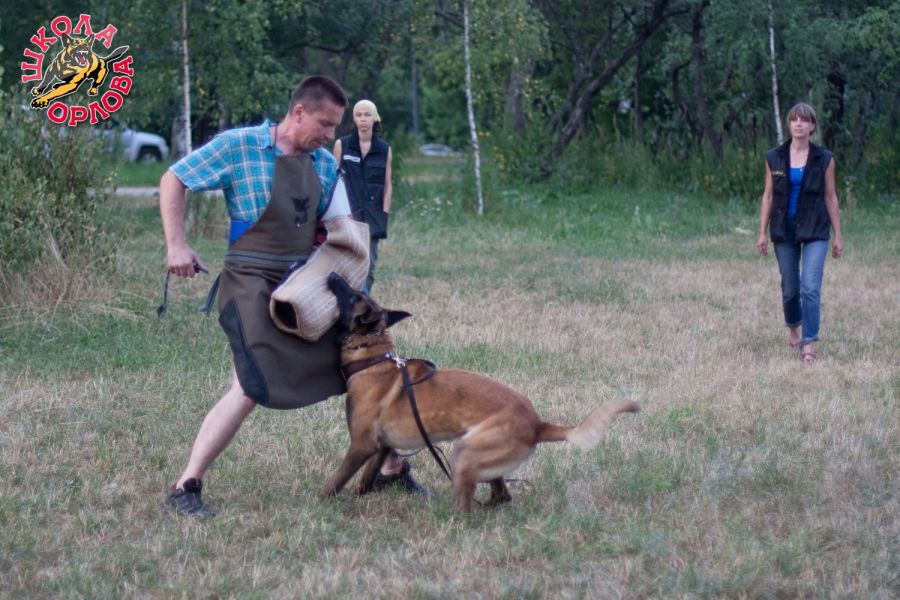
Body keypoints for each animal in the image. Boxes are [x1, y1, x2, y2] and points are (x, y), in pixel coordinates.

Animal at [319, 273, 640, 513]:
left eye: (351, 295)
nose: (333, 274)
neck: (372, 358)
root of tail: (538, 424)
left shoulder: (362, 445)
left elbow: (336, 480)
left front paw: (320, 503)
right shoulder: (382, 446)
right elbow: (365, 479)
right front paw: (358, 497)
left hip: (464, 455)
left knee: (467, 509)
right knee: (502, 496)